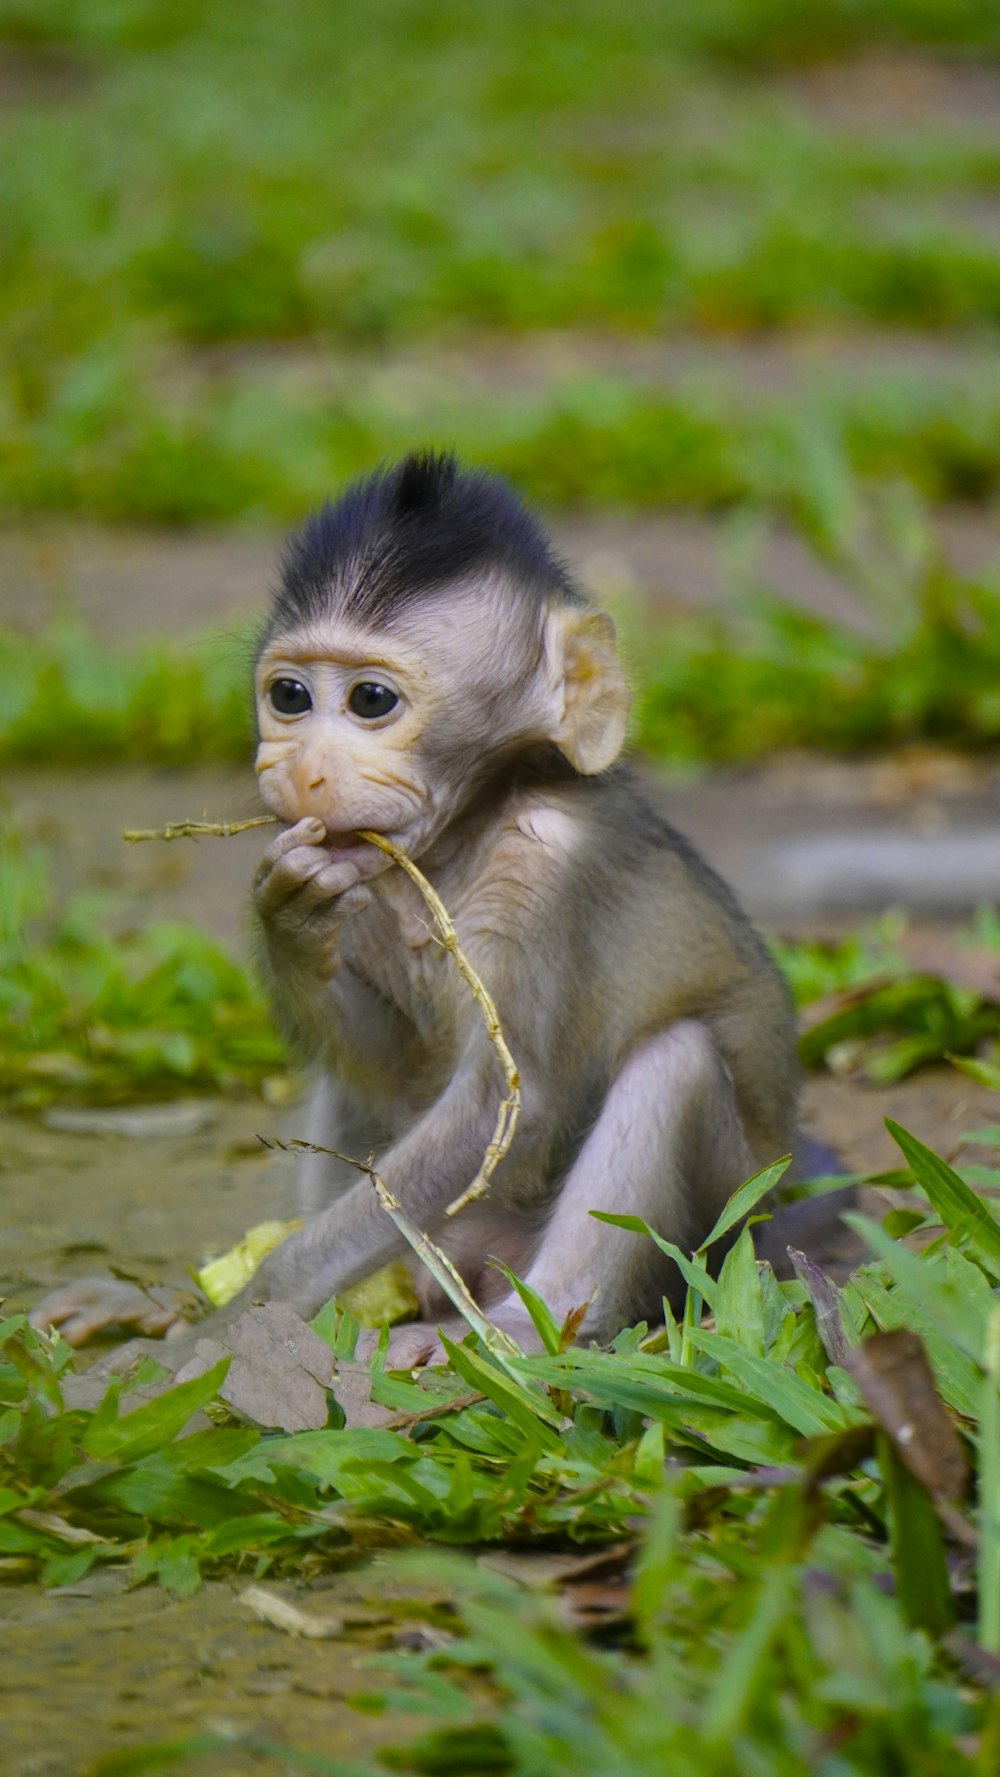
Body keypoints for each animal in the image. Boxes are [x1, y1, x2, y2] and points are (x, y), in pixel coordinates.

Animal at [33, 454, 799, 1357]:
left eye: (371, 701)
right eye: (289, 696)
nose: (304, 771)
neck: (464, 834)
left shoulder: (556, 874)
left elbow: (505, 1108)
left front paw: (230, 1323)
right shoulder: (365, 879)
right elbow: (386, 1070)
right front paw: (291, 917)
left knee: (674, 1059)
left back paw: (518, 1330)